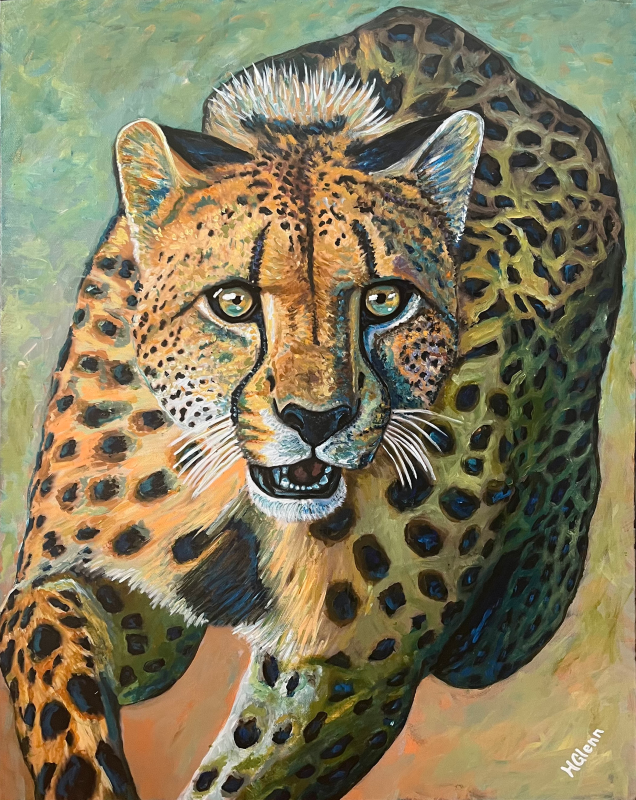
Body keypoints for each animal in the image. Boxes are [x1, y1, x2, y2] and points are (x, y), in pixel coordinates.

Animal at [0, 7, 623, 800]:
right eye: (233, 301)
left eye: (385, 299)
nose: (317, 420)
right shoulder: (98, 586)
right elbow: (55, 669)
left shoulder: (349, 662)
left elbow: (249, 774)